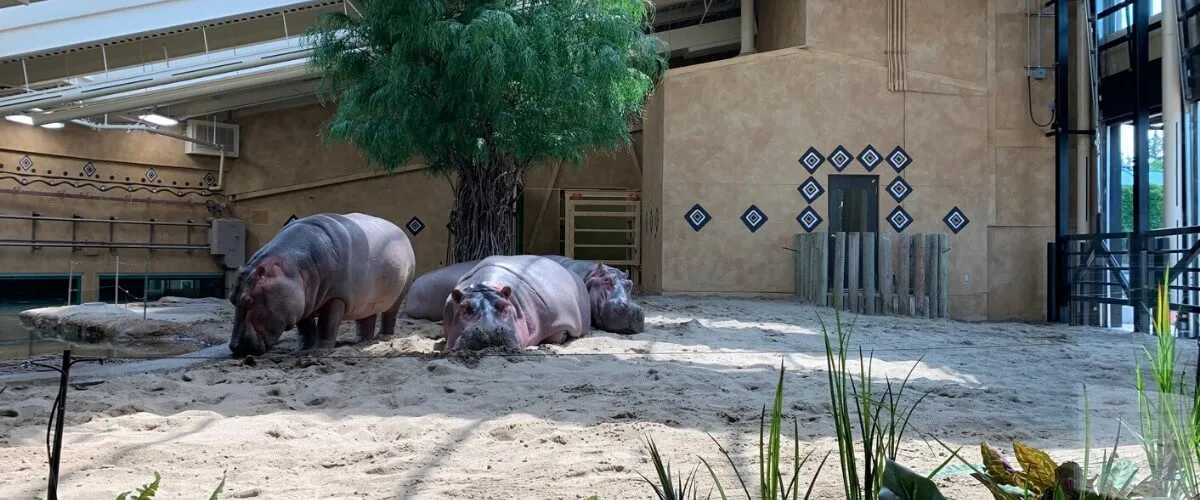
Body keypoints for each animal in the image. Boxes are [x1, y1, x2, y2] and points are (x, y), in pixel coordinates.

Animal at [228, 212, 416, 357]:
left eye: (248, 300)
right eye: (231, 298)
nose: (235, 347)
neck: (293, 267)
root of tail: (400, 230)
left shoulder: (336, 298)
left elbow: (327, 324)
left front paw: (318, 351)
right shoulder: (301, 303)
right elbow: (305, 328)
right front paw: (302, 349)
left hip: (400, 293)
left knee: (390, 314)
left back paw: (384, 337)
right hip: (367, 298)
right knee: (366, 317)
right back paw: (361, 340)